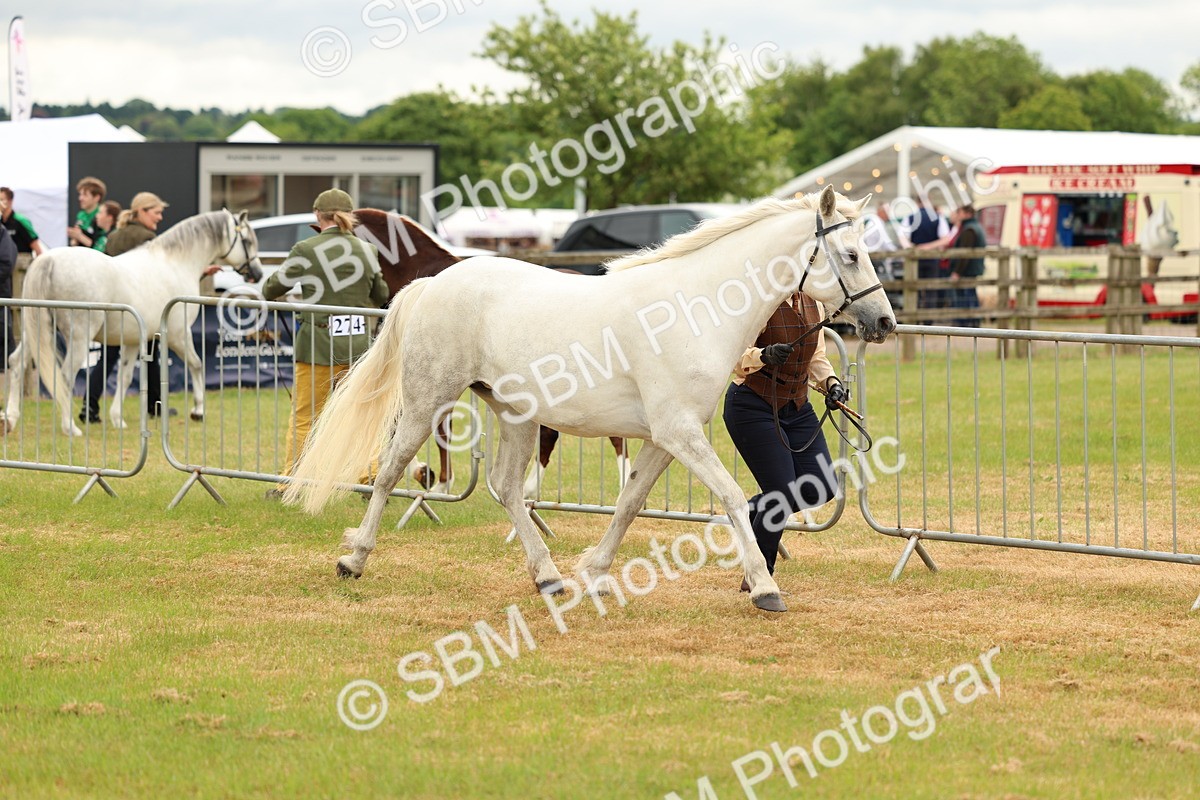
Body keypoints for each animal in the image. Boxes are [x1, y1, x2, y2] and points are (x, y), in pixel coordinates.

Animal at [2, 209, 263, 437]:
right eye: (247, 240)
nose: (257, 273)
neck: (175, 263)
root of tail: (48, 261)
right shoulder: (179, 335)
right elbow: (196, 364)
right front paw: (198, 410)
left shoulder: (134, 340)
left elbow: (125, 377)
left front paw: (118, 419)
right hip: (78, 338)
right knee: (64, 377)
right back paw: (70, 428)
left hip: (35, 331)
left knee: (17, 363)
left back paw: (10, 419)